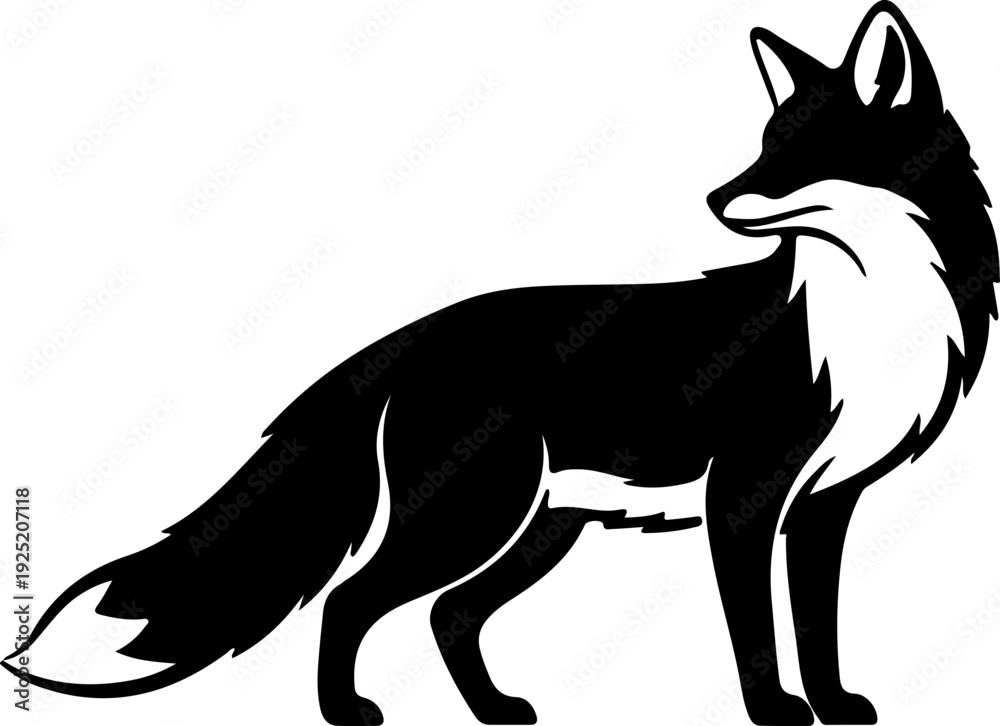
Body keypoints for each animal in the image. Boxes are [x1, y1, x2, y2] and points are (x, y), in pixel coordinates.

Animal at [4, 2, 997, 725]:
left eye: (805, 153)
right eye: (764, 146)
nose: (716, 197)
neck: (869, 315)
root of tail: (419, 332)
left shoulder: (828, 505)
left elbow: (819, 626)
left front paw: (835, 706)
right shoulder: (743, 498)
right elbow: (757, 631)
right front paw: (779, 715)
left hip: (537, 527)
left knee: (448, 614)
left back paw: (493, 711)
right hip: (475, 519)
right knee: (353, 602)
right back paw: (350, 714)